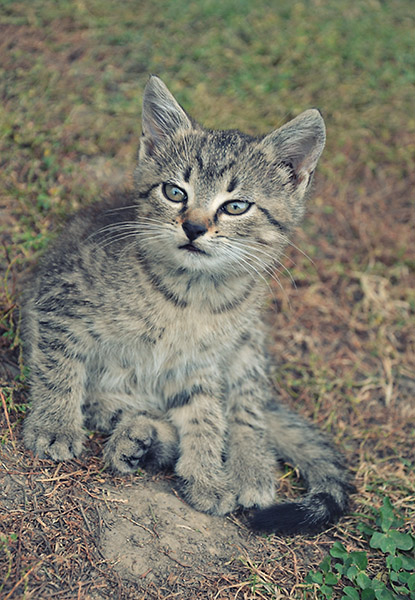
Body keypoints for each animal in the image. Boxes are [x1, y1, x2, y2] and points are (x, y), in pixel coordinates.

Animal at [22, 76, 354, 536]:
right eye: (174, 191)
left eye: (236, 206)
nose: (194, 226)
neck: (190, 297)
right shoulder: (61, 300)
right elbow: (59, 367)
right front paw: (53, 425)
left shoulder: (201, 364)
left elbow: (206, 415)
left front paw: (207, 476)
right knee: (110, 405)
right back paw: (138, 439)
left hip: (247, 347)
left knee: (249, 411)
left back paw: (247, 467)